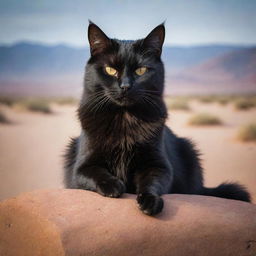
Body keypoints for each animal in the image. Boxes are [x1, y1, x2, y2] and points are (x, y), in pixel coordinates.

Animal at [63, 21, 250, 215]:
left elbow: (151, 182)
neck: (125, 119)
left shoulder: (158, 165)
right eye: (110, 70)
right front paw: (113, 185)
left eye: (141, 70)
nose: (125, 86)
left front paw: (150, 201)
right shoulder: (80, 168)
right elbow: (96, 173)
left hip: (189, 150)